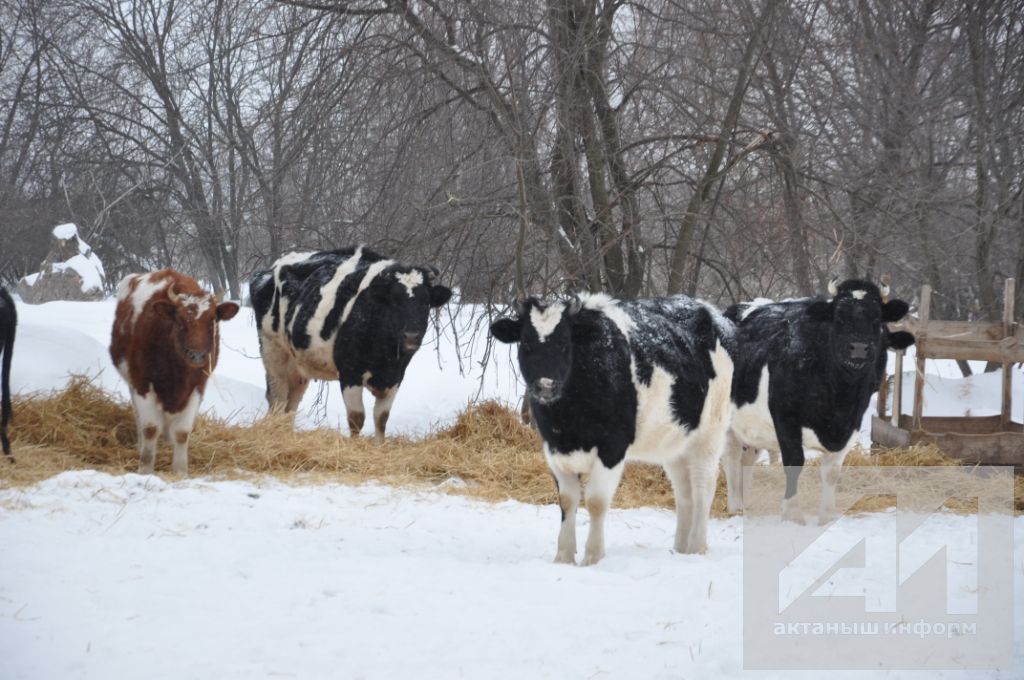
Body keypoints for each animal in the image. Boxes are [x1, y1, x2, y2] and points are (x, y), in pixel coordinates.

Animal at [110, 270, 239, 473]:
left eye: (212, 321)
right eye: (179, 321)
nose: (197, 355)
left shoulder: (197, 386)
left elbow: (182, 432)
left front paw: (180, 470)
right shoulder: (142, 382)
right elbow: (150, 427)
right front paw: (145, 468)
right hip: (131, 381)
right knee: (139, 417)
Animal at [249, 246, 450, 438]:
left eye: (426, 301)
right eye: (393, 300)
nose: (411, 335)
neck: (387, 356)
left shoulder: (396, 377)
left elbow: (381, 419)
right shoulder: (350, 373)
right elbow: (356, 418)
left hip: (297, 365)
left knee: (292, 403)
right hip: (273, 351)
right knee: (278, 398)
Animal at [489, 294, 737, 565]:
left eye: (565, 344)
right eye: (525, 344)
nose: (545, 386)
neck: (568, 423)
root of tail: (710, 310)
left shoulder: (612, 446)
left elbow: (596, 501)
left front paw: (593, 557)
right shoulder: (554, 449)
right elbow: (567, 500)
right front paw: (563, 557)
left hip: (711, 431)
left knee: (704, 485)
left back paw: (697, 547)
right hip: (676, 441)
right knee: (684, 490)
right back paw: (680, 549)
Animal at [720, 278, 921, 522]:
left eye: (876, 319)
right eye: (839, 318)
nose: (859, 347)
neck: (840, 397)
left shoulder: (852, 424)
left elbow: (832, 472)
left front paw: (827, 515)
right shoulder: (785, 418)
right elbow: (795, 461)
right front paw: (792, 513)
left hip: (751, 427)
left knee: (747, 459)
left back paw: (747, 504)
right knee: (731, 458)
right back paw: (735, 506)